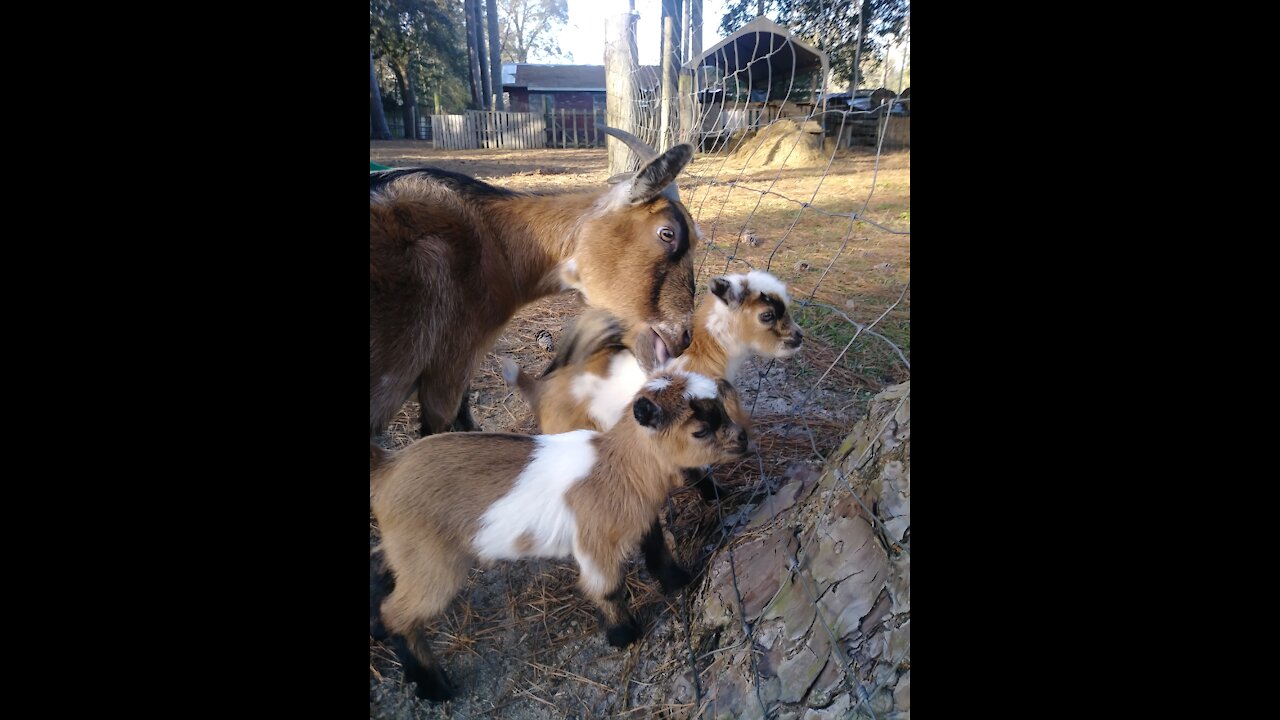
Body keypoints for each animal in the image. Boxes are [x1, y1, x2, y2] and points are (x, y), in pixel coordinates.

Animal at [368, 368, 747, 696]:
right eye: (700, 430)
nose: (742, 438)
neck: (619, 467)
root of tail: (389, 467)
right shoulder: (595, 544)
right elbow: (607, 588)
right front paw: (623, 635)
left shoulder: (641, 519)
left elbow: (658, 551)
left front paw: (679, 581)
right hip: (433, 563)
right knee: (398, 613)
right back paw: (434, 687)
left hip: (407, 548)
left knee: (384, 578)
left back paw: (380, 634)